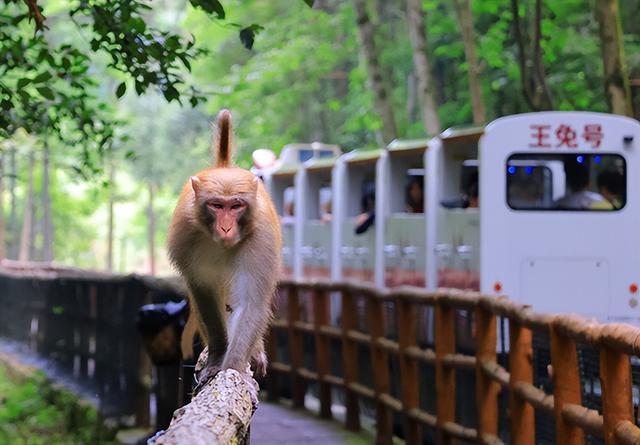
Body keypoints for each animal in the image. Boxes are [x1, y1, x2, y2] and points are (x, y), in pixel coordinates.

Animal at [167, 109, 282, 390]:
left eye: (236, 205)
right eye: (217, 205)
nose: (227, 228)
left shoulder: (260, 238)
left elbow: (251, 302)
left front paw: (232, 367)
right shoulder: (186, 236)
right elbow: (203, 291)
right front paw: (218, 357)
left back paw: (255, 351)